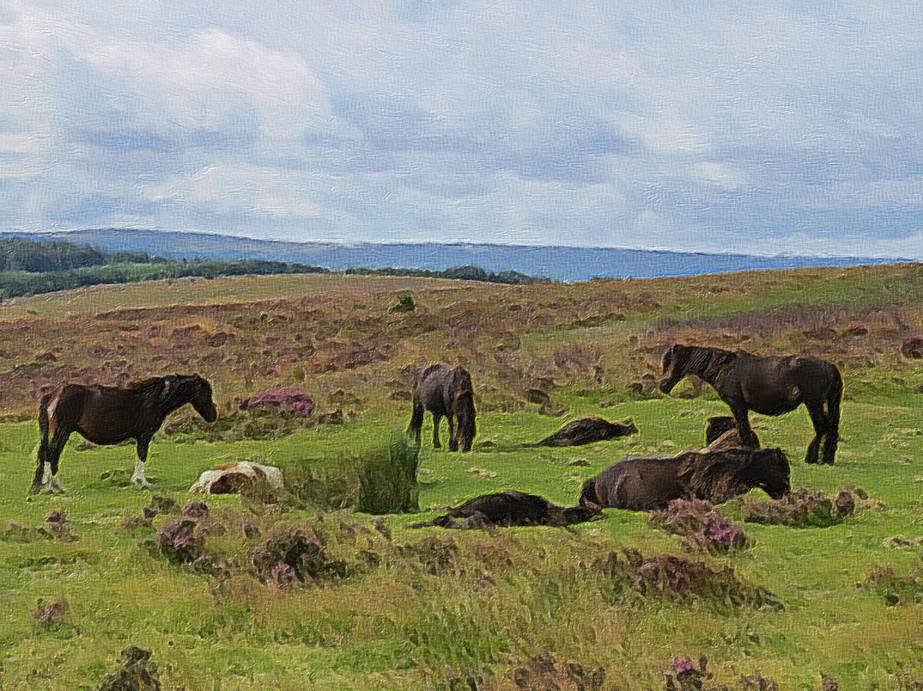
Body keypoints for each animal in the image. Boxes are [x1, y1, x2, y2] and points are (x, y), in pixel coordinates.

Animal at [30, 376, 218, 494]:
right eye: (206, 392)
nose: (213, 416)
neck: (153, 399)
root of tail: (54, 395)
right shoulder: (144, 436)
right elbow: (142, 456)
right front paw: (141, 482)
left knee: (47, 455)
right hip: (62, 431)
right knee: (52, 454)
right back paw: (55, 487)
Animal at [656, 344, 844, 464]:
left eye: (673, 361)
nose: (663, 386)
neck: (725, 367)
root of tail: (829, 367)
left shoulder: (737, 405)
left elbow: (744, 431)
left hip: (813, 404)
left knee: (822, 428)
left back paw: (812, 459)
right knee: (830, 429)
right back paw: (827, 459)